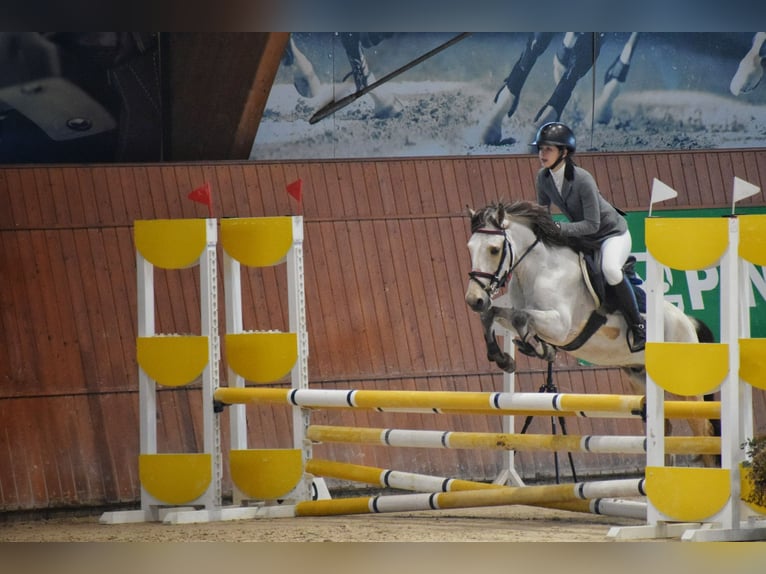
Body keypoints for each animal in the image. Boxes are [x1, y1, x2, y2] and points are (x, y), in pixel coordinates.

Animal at [464, 200, 724, 466]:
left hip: (684, 387)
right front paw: (506, 357)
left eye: (494, 249)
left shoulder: (560, 325)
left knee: (704, 434)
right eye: (470, 248)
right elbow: (493, 314)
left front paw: (538, 349)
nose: (474, 300)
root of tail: (688, 322)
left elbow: (521, 317)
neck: (538, 270)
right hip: (640, 379)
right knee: (667, 430)